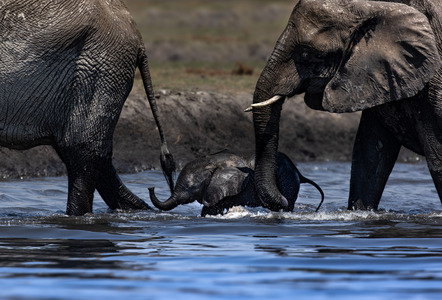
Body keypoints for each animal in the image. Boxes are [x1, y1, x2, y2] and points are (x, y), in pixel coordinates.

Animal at [148, 152, 324, 216]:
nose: (151, 187)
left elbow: (211, 208)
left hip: (288, 182)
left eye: (190, 188)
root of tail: (299, 173)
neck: (213, 163)